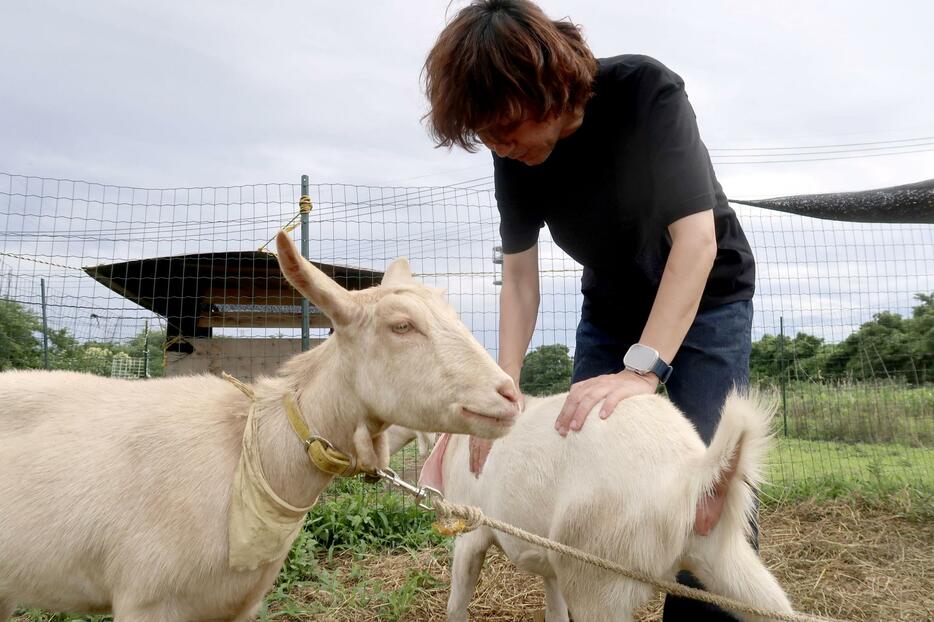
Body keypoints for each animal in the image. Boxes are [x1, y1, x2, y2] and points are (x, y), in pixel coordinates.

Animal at [440, 392, 796, 620]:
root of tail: (693, 472)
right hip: (723, 554)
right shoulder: (549, 560)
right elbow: (555, 611)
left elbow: (457, 602)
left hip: (597, 567)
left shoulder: (471, 530)